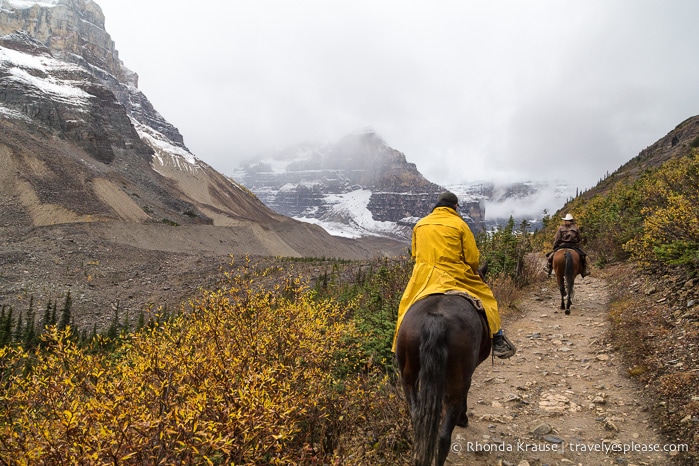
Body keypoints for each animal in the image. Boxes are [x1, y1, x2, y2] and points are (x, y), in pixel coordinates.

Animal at [396, 294, 490, 466]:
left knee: (417, 421)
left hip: (408, 378)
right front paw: (463, 419)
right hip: (456, 382)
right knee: (443, 437)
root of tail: (435, 320)